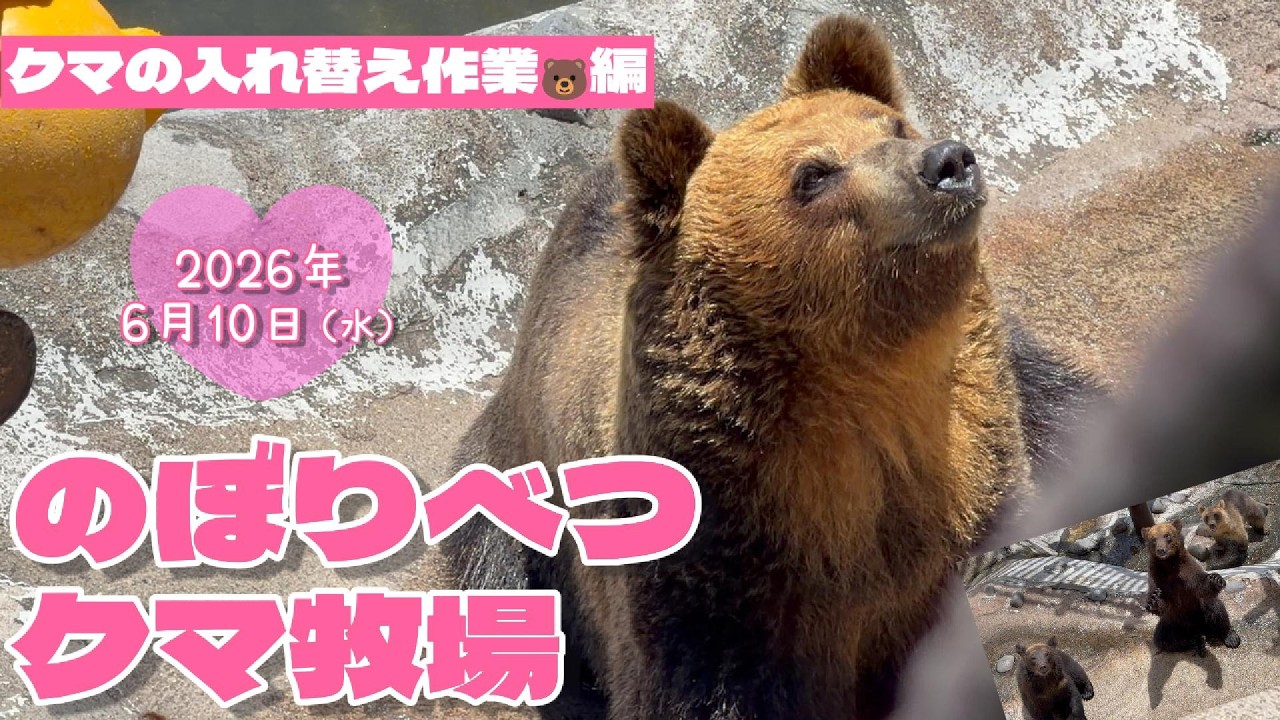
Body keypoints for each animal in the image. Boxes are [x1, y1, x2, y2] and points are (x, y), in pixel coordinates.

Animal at [1142, 519, 1241, 657]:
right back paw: (1196, 642)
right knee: (1162, 637)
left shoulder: (1187, 570)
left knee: (1215, 607)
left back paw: (1230, 637)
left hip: (1200, 612)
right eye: (1153, 539)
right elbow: (1159, 601)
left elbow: (1202, 586)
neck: (1169, 565)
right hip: (1173, 621)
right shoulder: (1156, 575)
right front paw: (1153, 599)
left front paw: (1216, 579)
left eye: (1167, 535)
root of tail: (1199, 629)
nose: (1161, 550)